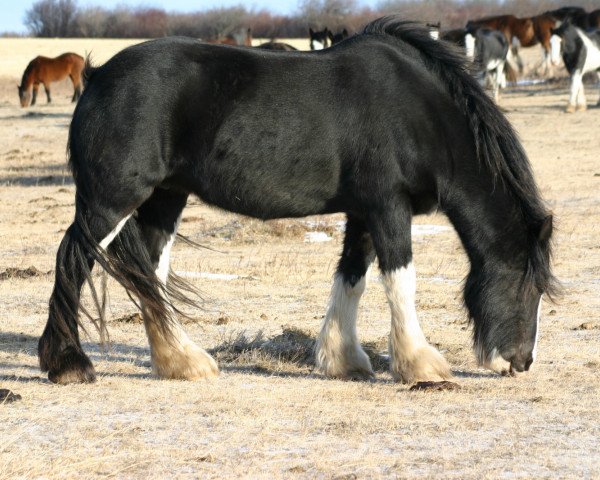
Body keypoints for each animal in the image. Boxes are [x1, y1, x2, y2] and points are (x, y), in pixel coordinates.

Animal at [38, 19, 556, 386]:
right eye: (531, 285)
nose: (522, 362)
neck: (418, 113)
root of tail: (97, 75)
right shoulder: (389, 206)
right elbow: (400, 280)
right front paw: (420, 364)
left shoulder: (363, 212)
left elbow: (352, 277)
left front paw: (343, 359)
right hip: (111, 200)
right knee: (73, 261)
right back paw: (68, 365)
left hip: (165, 198)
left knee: (150, 274)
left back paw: (181, 362)